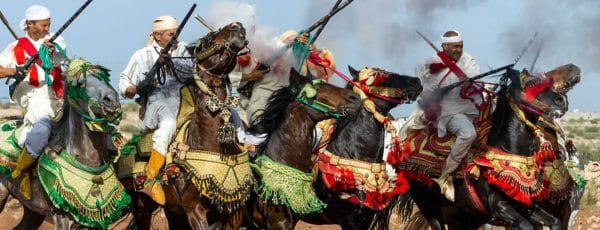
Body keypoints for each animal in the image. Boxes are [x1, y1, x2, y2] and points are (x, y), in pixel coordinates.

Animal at [0, 58, 129, 229]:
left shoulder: (97, 220)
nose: (111, 100)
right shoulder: (61, 217)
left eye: (105, 77)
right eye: (79, 83)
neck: (86, 160)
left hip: (33, 210)